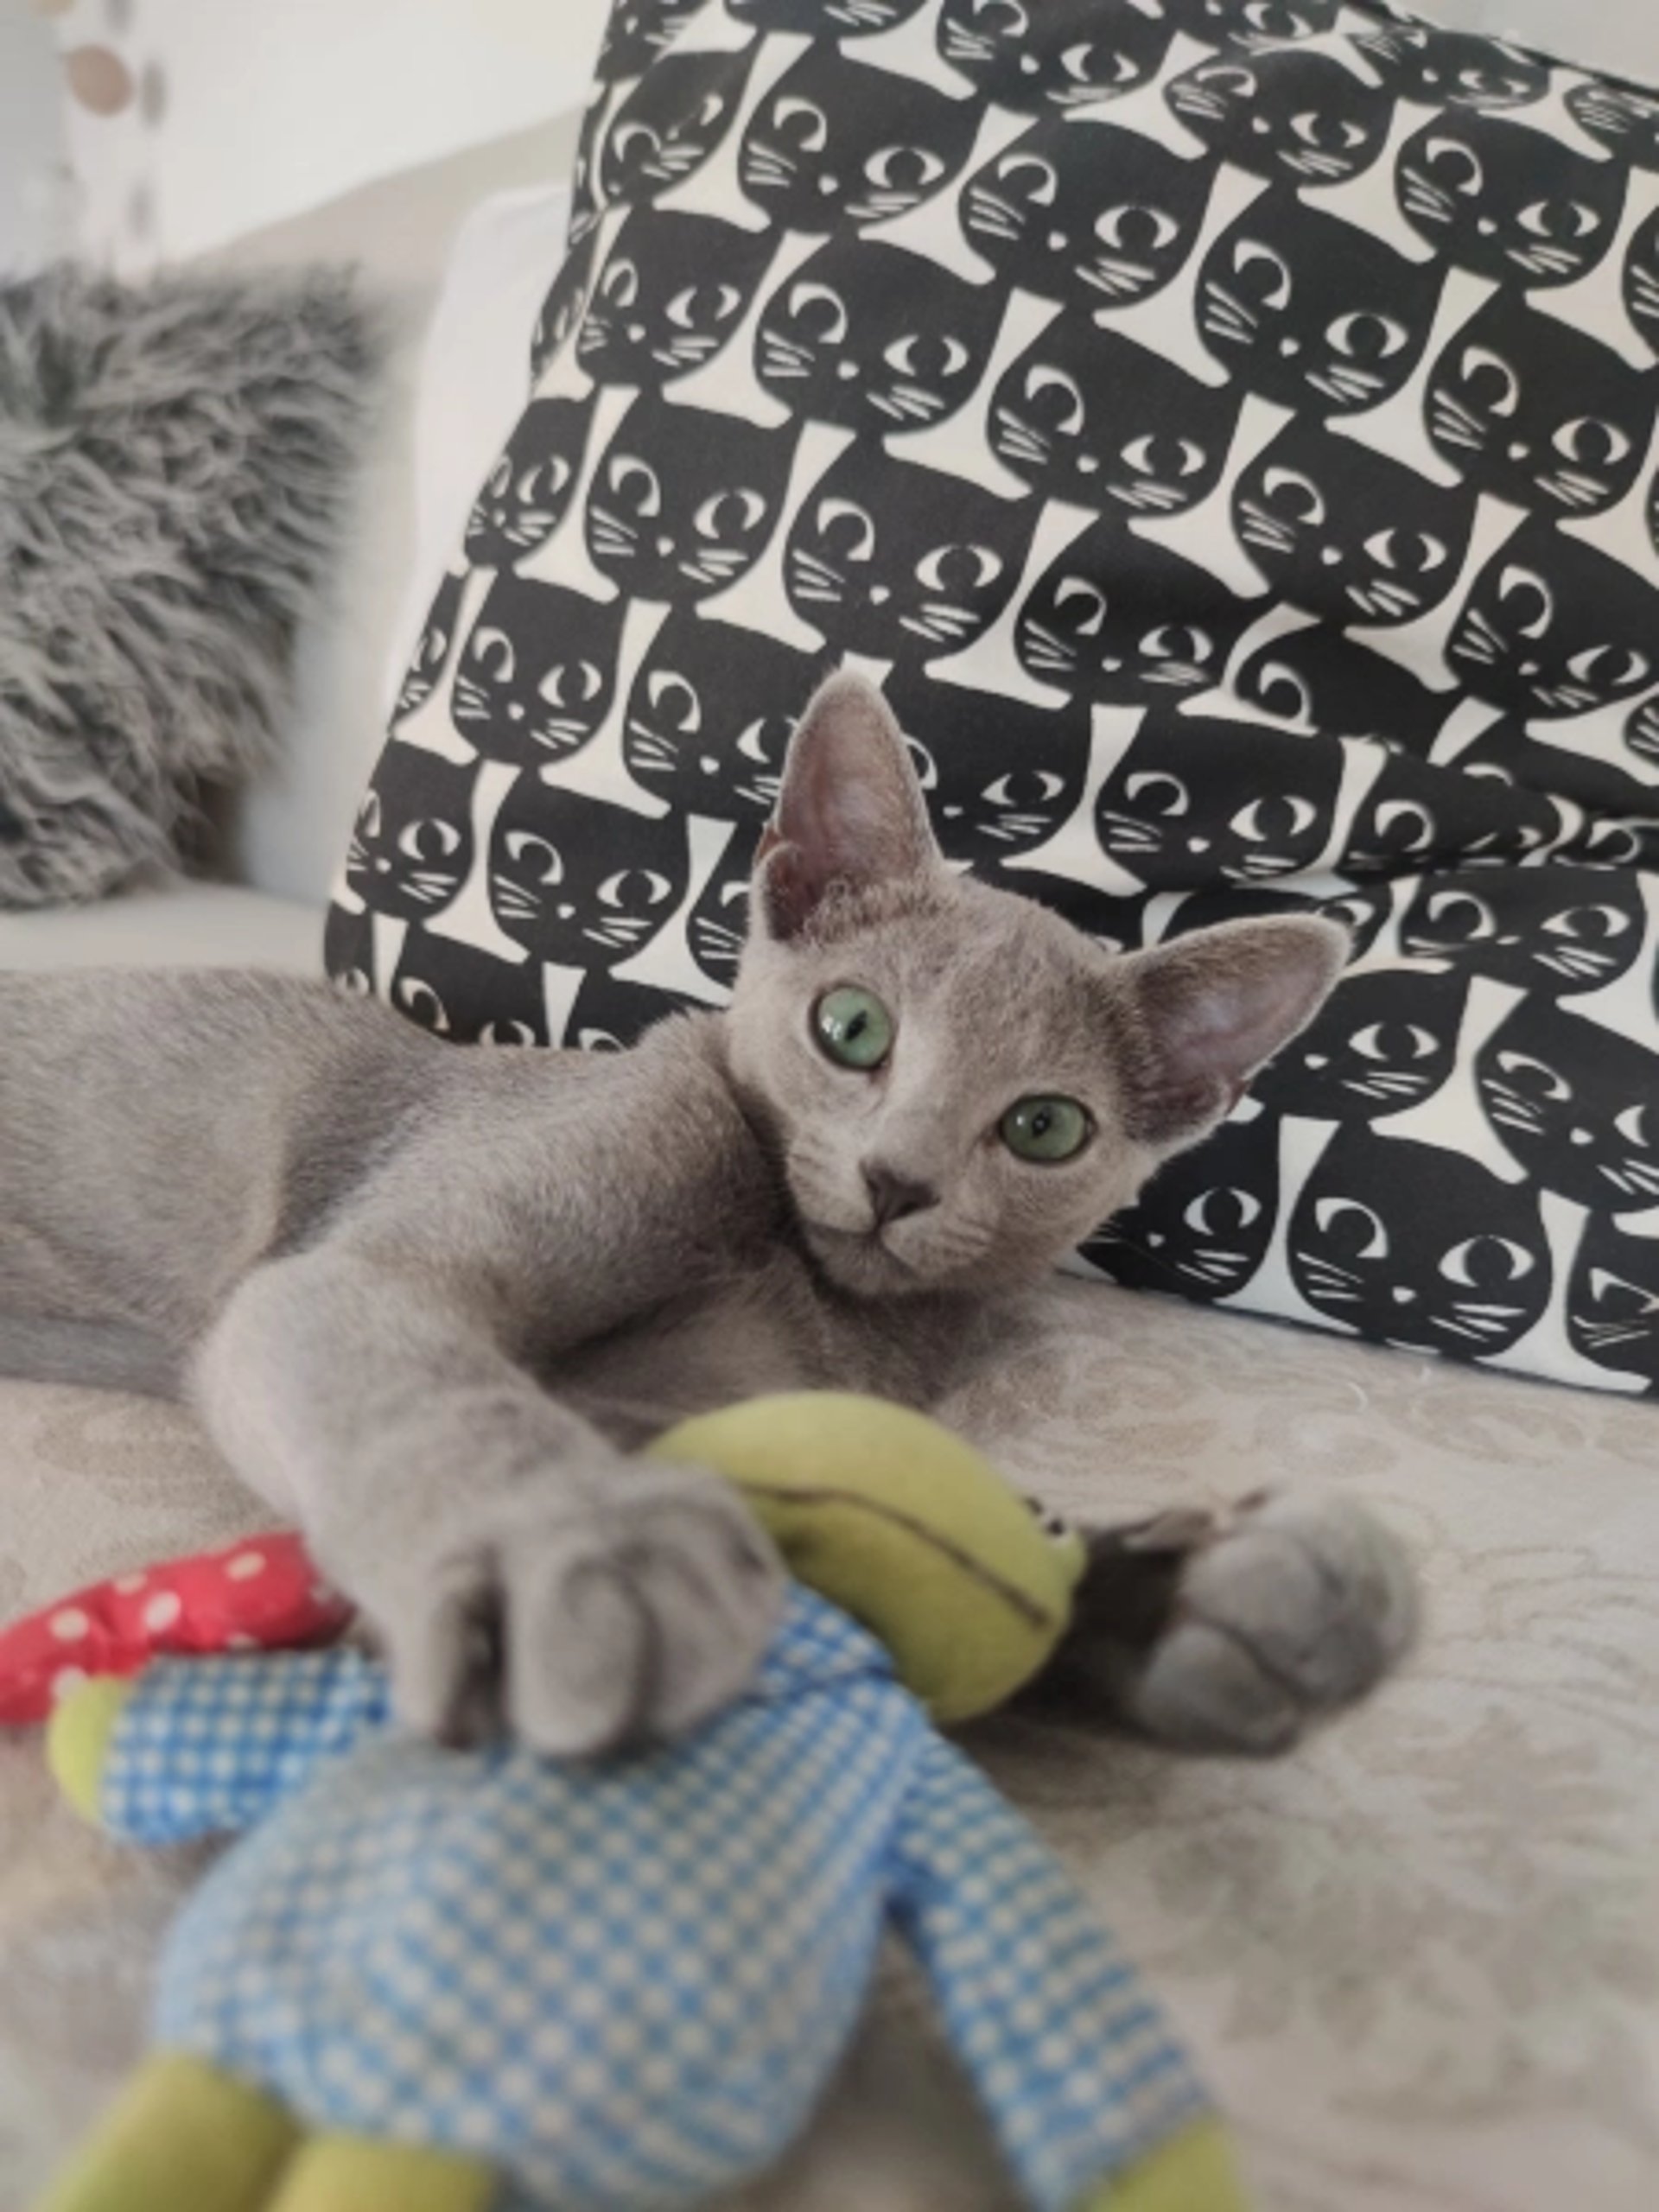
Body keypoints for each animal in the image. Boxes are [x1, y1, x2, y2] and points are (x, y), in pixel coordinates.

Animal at [0, 681, 1415, 1751]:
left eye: (1044, 1128)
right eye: (854, 1029)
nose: (899, 1181)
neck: (808, 1285)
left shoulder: (717, 1408)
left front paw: (1182, 1598)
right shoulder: (376, 1264)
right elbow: (432, 1379)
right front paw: (577, 1550)